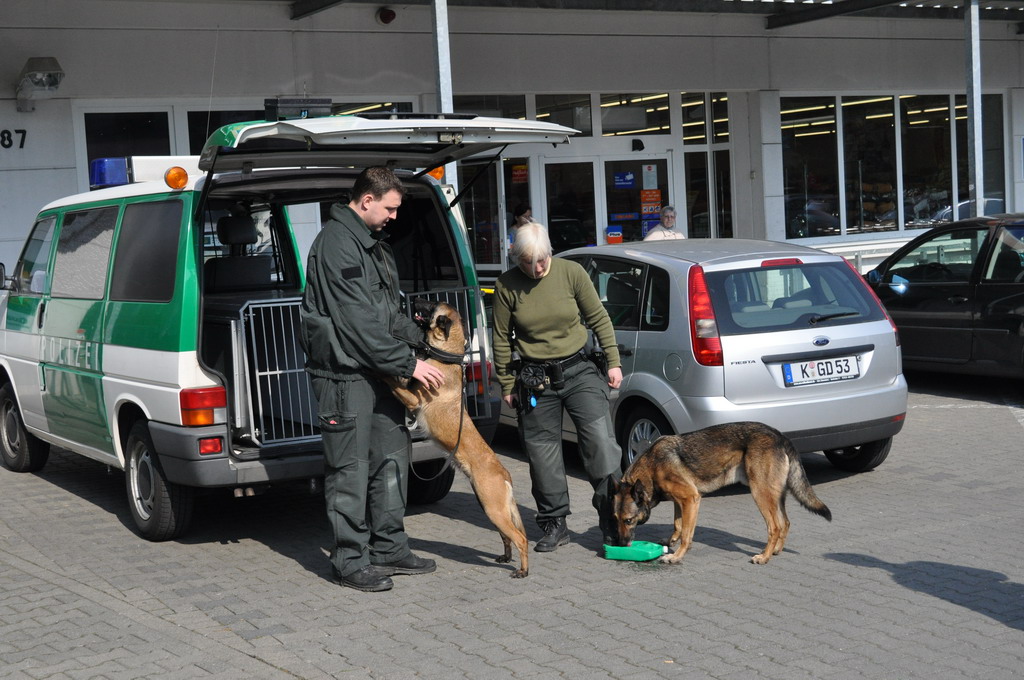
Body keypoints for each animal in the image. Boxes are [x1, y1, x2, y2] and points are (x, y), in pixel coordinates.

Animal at [385, 301, 528, 577]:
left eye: (430, 306)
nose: (411, 302)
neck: (446, 355)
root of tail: (504, 473)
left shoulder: (413, 399)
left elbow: (391, 382)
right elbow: (399, 378)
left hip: (493, 508)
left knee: (521, 538)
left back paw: (523, 570)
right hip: (491, 508)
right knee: (508, 536)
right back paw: (505, 557)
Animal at [610, 421, 827, 565]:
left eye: (629, 520)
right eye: (615, 519)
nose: (620, 544)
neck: (652, 467)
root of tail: (780, 436)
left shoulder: (691, 499)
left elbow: (687, 533)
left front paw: (677, 555)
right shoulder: (680, 501)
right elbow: (678, 524)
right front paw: (671, 540)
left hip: (760, 494)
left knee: (775, 526)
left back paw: (764, 557)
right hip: (775, 496)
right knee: (785, 523)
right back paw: (775, 551)